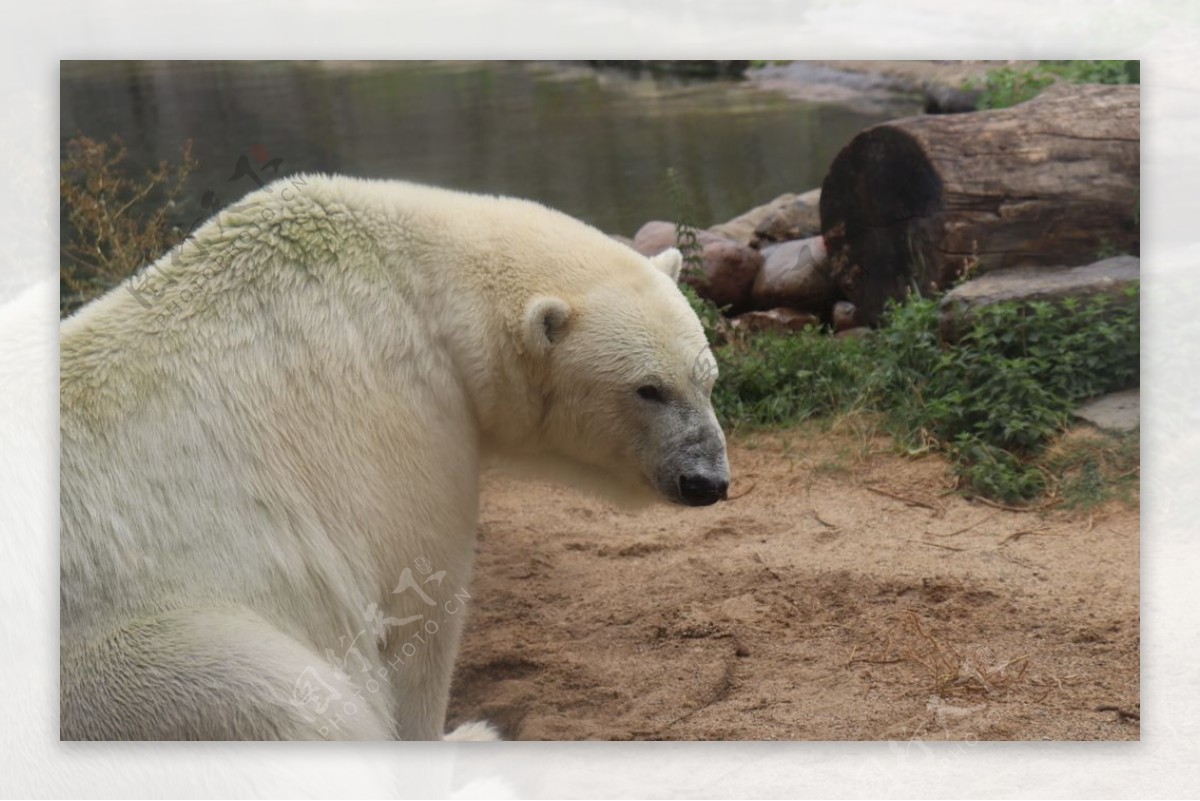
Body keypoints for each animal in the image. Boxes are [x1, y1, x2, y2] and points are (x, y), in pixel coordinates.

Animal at [58, 173, 729, 738]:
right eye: (648, 389)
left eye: (707, 379)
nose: (707, 481)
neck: (416, 282)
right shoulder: (404, 426)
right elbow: (418, 618)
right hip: (147, 665)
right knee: (283, 700)